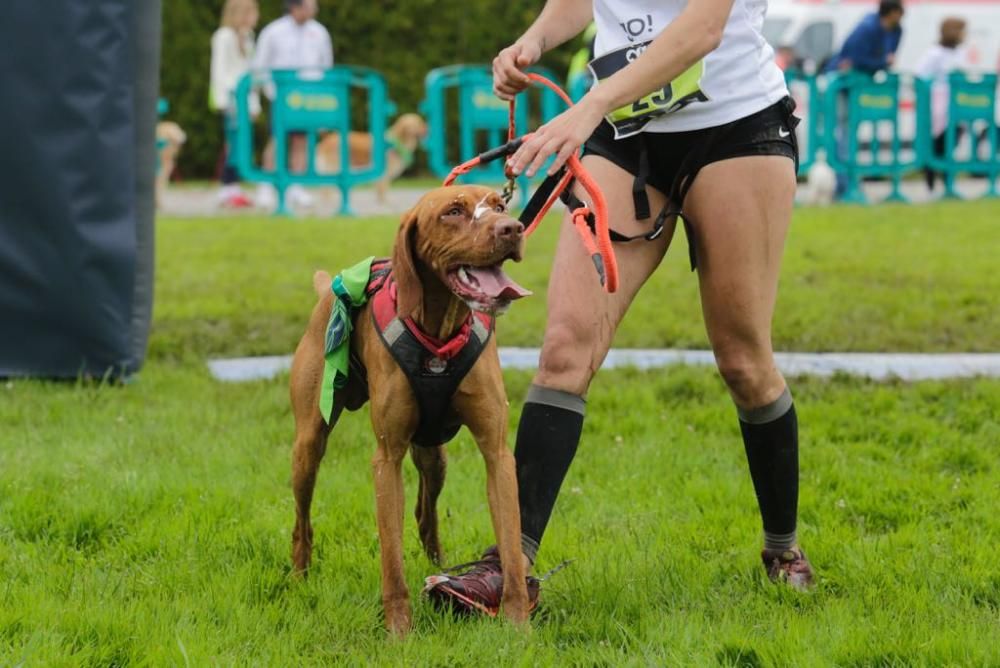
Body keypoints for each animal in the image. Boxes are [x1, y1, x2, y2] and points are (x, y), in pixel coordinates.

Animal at [290, 185, 536, 636]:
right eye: (453, 211)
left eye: (499, 205)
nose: (512, 228)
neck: (439, 329)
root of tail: (326, 290)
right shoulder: (387, 459)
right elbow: (392, 560)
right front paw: (399, 633)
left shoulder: (497, 454)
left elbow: (511, 548)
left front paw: (517, 626)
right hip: (307, 447)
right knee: (303, 520)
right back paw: (299, 578)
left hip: (435, 455)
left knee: (426, 511)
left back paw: (440, 568)